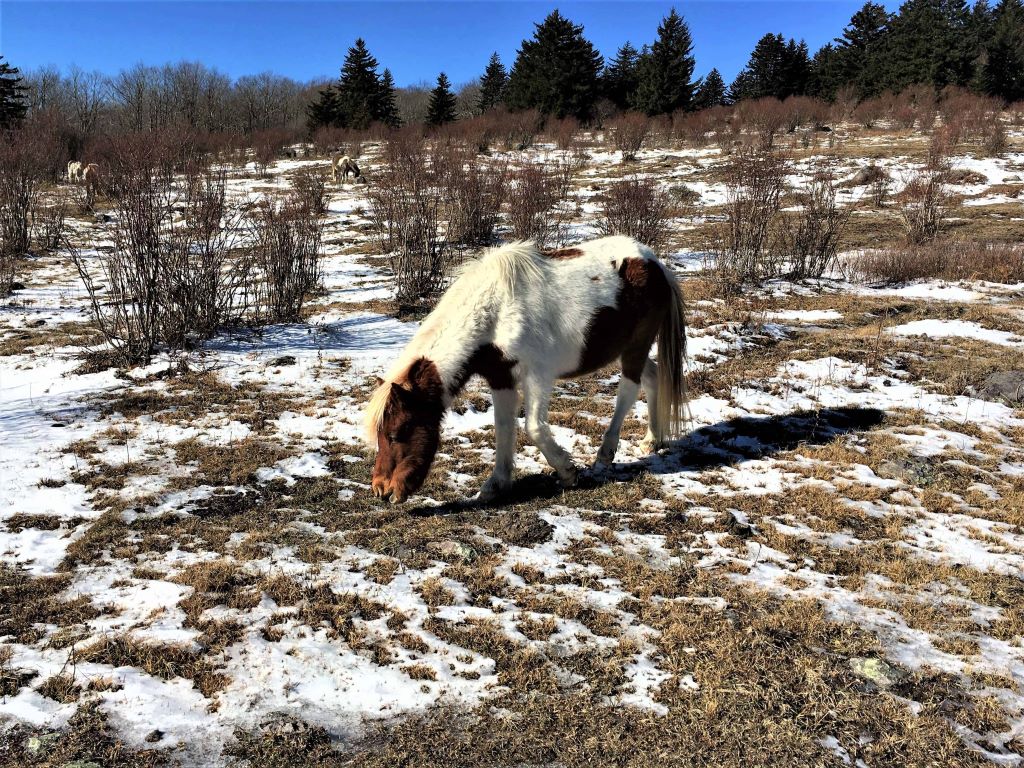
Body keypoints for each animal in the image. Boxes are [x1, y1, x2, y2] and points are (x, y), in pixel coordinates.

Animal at [364, 237, 692, 507]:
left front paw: (568, 472)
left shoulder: (537, 377)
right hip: (626, 350)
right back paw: (652, 440)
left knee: (628, 391)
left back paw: (605, 454)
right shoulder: (501, 379)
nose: (383, 490)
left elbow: (533, 427)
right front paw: (496, 484)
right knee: (652, 378)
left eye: (397, 432)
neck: (495, 312)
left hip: (635, 348)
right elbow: (503, 428)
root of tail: (654, 263)